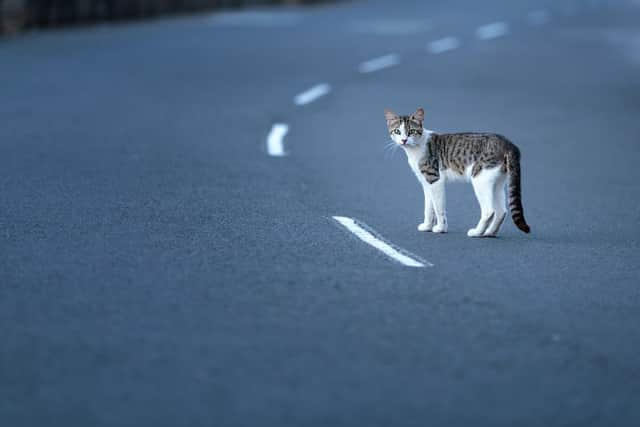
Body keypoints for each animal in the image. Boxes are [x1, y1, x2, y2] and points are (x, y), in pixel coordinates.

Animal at [384, 108, 528, 237]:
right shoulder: (426, 183)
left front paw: (441, 228)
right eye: (397, 131)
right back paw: (490, 233)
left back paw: (477, 233)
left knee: (489, 211)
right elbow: (429, 208)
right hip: (497, 183)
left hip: (480, 179)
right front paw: (427, 226)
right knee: (502, 211)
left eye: (411, 131)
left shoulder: (435, 179)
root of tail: (508, 143)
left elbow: (438, 208)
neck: (415, 148)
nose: (404, 140)